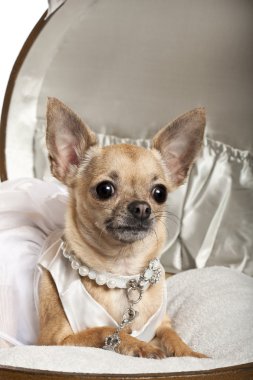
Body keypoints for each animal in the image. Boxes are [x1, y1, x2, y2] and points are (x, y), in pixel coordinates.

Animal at [38, 98, 207, 360]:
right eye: (104, 189)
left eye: (160, 193)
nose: (142, 208)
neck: (122, 275)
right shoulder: (55, 342)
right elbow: (106, 329)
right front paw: (141, 346)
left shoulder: (162, 324)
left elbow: (173, 336)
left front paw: (191, 354)